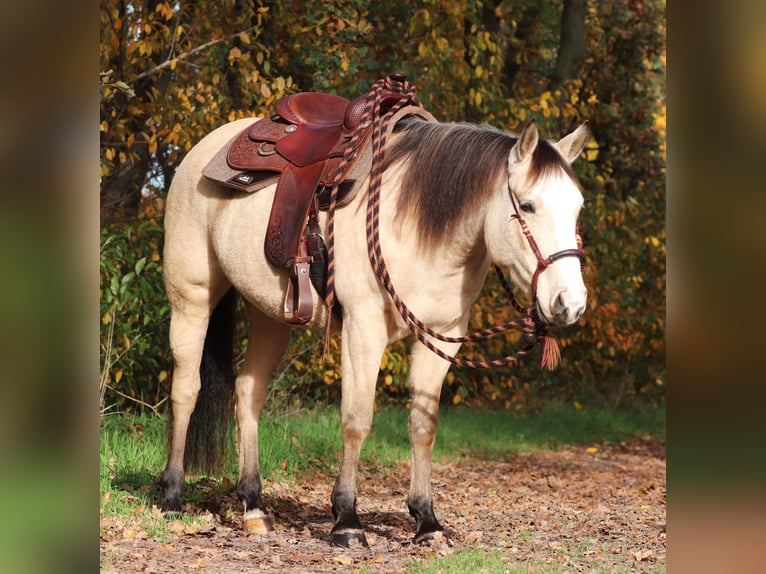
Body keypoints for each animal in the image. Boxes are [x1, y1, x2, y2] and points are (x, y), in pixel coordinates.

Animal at [159, 104, 590, 547]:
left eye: (578, 208)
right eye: (529, 205)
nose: (570, 304)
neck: (416, 225)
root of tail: (205, 149)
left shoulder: (444, 337)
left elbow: (423, 425)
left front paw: (426, 521)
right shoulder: (363, 330)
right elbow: (356, 419)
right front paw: (347, 520)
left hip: (270, 316)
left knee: (248, 394)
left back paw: (254, 506)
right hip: (191, 298)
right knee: (186, 390)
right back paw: (172, 496)